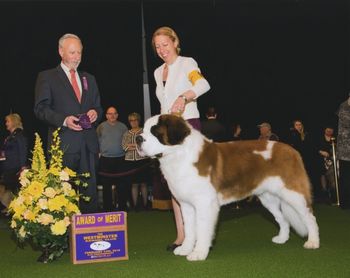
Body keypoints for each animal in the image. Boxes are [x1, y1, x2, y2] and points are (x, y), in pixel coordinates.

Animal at [136, 113, 320, 260]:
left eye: (155, 132)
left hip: (293, 193)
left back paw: (313, 242)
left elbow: (202, 229)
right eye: (144, 130)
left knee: (310, 217)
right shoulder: (186, 205)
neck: (179, 155)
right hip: (269, 198)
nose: (137, 138)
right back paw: (282, 238)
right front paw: (185, 249)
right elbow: (189, 229)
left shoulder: (205, 204)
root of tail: (292, 150)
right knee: (282, 218)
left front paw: (198, 253)